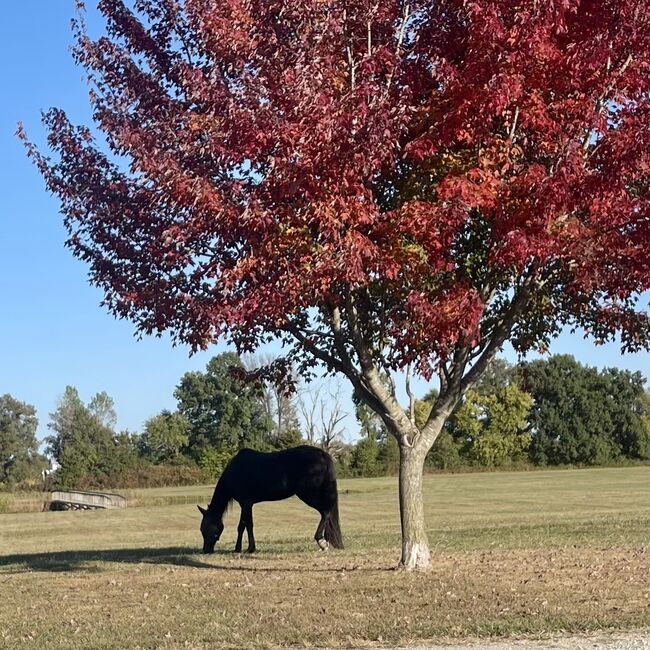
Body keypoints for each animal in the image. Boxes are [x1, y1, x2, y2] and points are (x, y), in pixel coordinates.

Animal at [196, 446, 342, 552]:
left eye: (206, 528)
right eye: (201, 529)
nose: (206, 550)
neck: (235, 472)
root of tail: (322, 454)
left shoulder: (246, 503)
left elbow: (247, 525)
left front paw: (249, 549)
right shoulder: (245, 504)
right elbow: (243, 526)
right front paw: (240, 548)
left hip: (309, 494)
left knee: (326, 512)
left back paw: (321, 541)